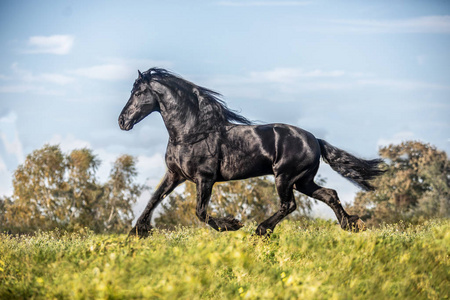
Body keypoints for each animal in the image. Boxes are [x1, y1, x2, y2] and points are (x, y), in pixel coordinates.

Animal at [118, 67, 382, 237]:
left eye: (138, 93)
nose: (122, 121)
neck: (192, 132)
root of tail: (315, 140)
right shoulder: (175, 175)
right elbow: (154, 199)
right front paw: (137, 232)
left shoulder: (205, 178)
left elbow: (200, 212)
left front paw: (232, 224)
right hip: (302, 181)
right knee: (330, 194)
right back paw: (351, 225)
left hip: (285, 177)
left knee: (289, 205)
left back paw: (261, 230)